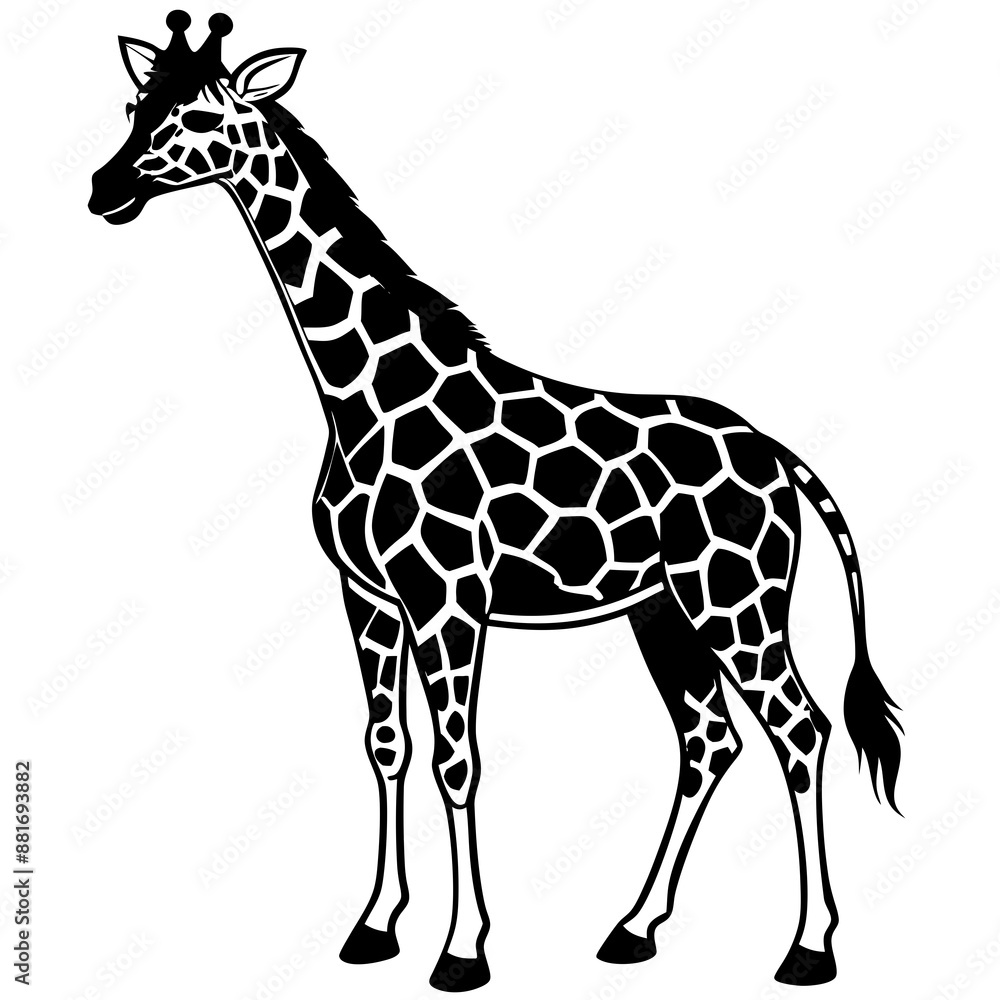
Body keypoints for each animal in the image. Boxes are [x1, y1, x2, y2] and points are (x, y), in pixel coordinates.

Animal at [89, 13, 903, 992]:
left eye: (205, 115)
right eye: (134, 106)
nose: (102, 190)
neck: (363, 395)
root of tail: (781, 458)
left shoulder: (448, 600)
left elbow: (457, 760)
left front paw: (462, 949)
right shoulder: (368, 596)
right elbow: (388, 745)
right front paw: (375, 926)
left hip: (736, 601)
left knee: (800, 729)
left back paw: (809, 947)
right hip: (663, 611)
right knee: (710, 738)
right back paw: (634, 927)